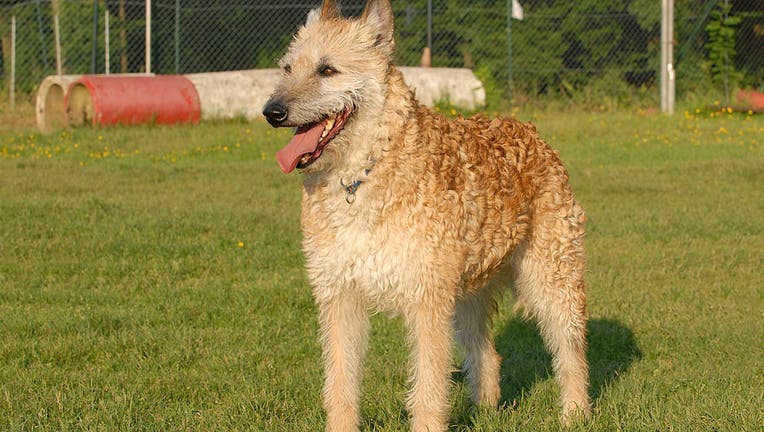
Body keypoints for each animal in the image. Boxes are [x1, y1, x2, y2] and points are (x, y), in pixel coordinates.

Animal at [262, 1, 592, 430]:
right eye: (287, 68)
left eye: (327, 70)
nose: (271, 111)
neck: (362, 175)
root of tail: (533, 133)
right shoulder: (339, 297)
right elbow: (340, 385)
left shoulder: (427, 301)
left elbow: (429, 390)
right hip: (469, 295)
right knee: (487, 353)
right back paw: (485, 410)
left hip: (553, 280)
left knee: (572, 352)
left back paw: (575, 413)